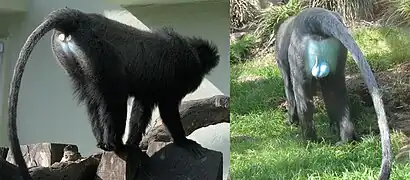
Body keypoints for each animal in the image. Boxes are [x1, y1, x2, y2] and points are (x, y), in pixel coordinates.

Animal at [8, 7, 219, 180]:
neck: (188, 51)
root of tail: (78, 19)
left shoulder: (149, 91)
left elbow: (141, 107)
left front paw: (134, 144)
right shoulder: (177, 76)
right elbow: (167, 109)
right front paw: (183, 142)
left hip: (77, 63)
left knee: (92, 98)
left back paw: (105, 143)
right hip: (99, 55)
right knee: (115, 97)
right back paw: (115, 144)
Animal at [274, 7, 392, 180]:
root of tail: (315, 19)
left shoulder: (284, 64)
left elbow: (289, 90)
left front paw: (291, 120)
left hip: (298, 56)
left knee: (303, 99)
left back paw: (308, 140)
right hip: (339, 53)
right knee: (337, 94)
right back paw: (345, 138)